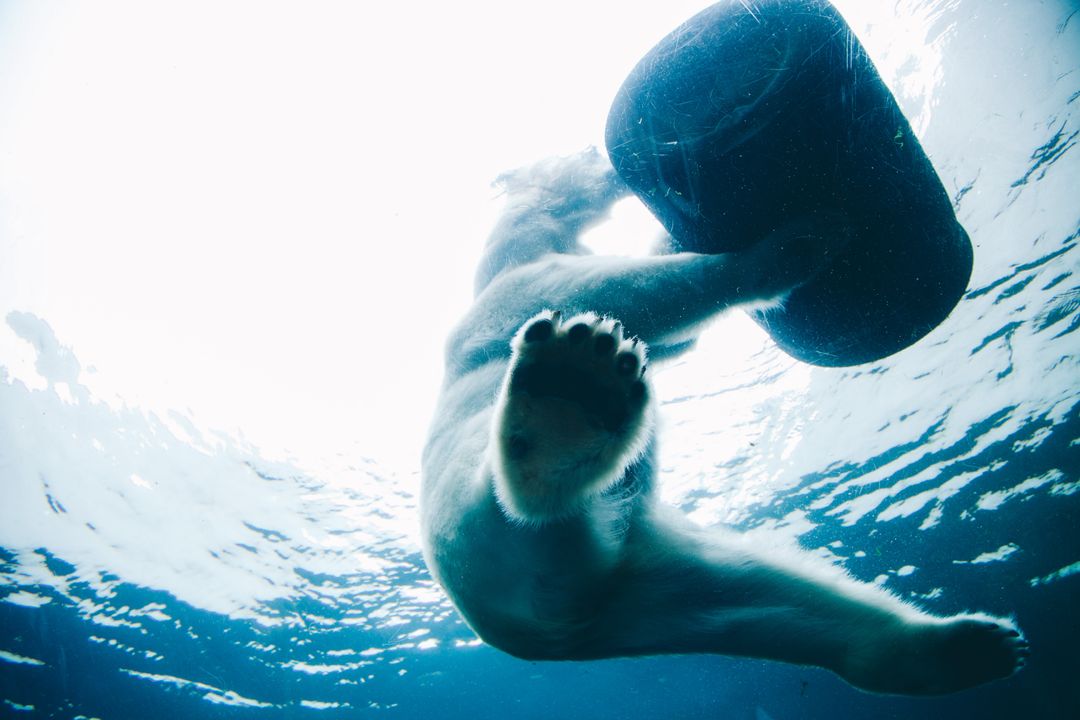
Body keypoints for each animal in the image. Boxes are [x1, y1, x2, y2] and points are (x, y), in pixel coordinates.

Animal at [420, 148, 1028, 695]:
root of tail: (557, 621)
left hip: (653, 585)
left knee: (780, 598)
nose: (604, 158)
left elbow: (673, 339)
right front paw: (799, 243)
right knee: (526, 498)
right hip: (489, 529)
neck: (506, 253)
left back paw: (966, 647)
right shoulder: (515, 293)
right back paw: (570, 399)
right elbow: (625, 288)